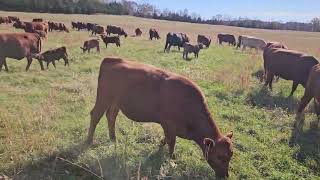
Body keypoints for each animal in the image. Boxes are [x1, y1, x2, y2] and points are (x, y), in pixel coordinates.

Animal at [87, 57, 235, 178]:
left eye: (230, 155)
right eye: (220, 156)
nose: (225, 176)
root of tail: (111, 59)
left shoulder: (170, 128)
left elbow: (166, 140)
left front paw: (159, 147)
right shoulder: (169, 125)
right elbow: (171, 144)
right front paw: (172, 161)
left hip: (115, 103)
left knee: (111, 116)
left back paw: (113, 139)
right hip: (103, 98)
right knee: (95, 115)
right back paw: (89, 141)